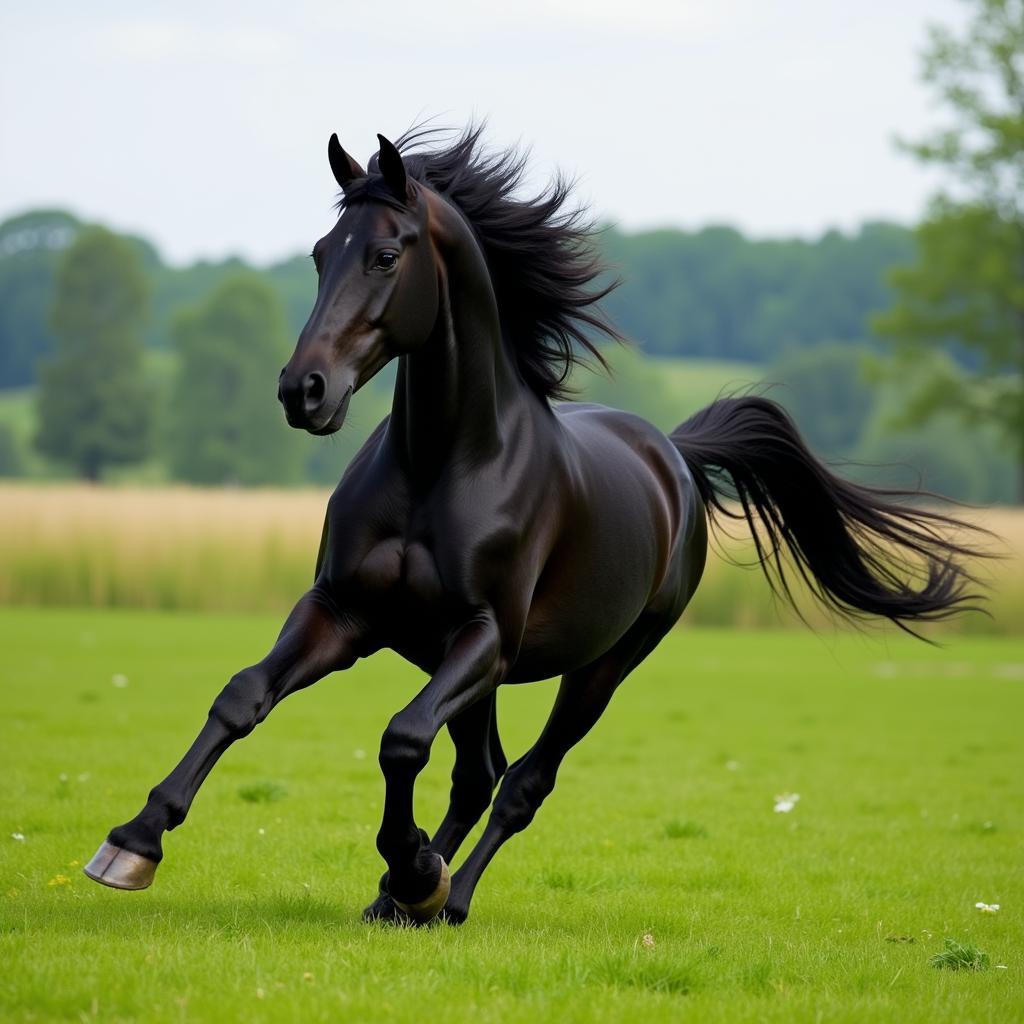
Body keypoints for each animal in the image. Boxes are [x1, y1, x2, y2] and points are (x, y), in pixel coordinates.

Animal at [83, 123, 978, 925]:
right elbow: (244, 697)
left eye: (385, 255)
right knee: (481, 772)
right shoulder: (344, 612)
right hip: (466, 665)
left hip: (600, 667)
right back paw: (401, 893)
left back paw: (441, 894)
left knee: (520, 783)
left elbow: (402, 739)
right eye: (318, 253)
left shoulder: (485, 636)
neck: (442, 468)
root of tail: (675, 456)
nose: (303, 391)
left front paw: (414, 868)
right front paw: (133, 843)